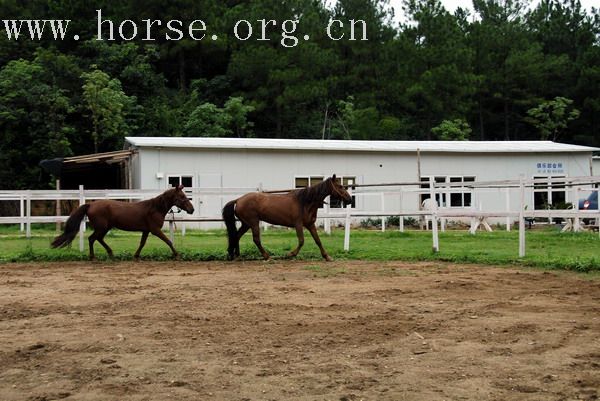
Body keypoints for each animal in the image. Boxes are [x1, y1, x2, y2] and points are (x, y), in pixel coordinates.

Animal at [51, 185, 193, 260]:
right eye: (182, 196)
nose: (192, 209)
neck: (155, 208)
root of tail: (90, 204)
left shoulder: (146, 230)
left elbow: (142, 243)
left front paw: (136, 255)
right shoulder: (155, 230)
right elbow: (168, 241)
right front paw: (177, 254)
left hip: (105, 228)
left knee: (98, 239)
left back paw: (111, 253)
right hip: (101, 227)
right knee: (92, 239)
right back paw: (93, 256)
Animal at [221, 173, 352, 260]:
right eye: (340, 186)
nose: (350, 199)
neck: (305, 202)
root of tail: (238, 200)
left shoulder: (310, 224)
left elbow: (318, 240)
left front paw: (327, 256)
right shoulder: (298, 224)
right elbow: (301, 241)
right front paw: (290, 254)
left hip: (246, 224)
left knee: (236, 236)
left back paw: (236, 255)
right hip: (253, 222)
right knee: (256, 239)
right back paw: (267, 256)